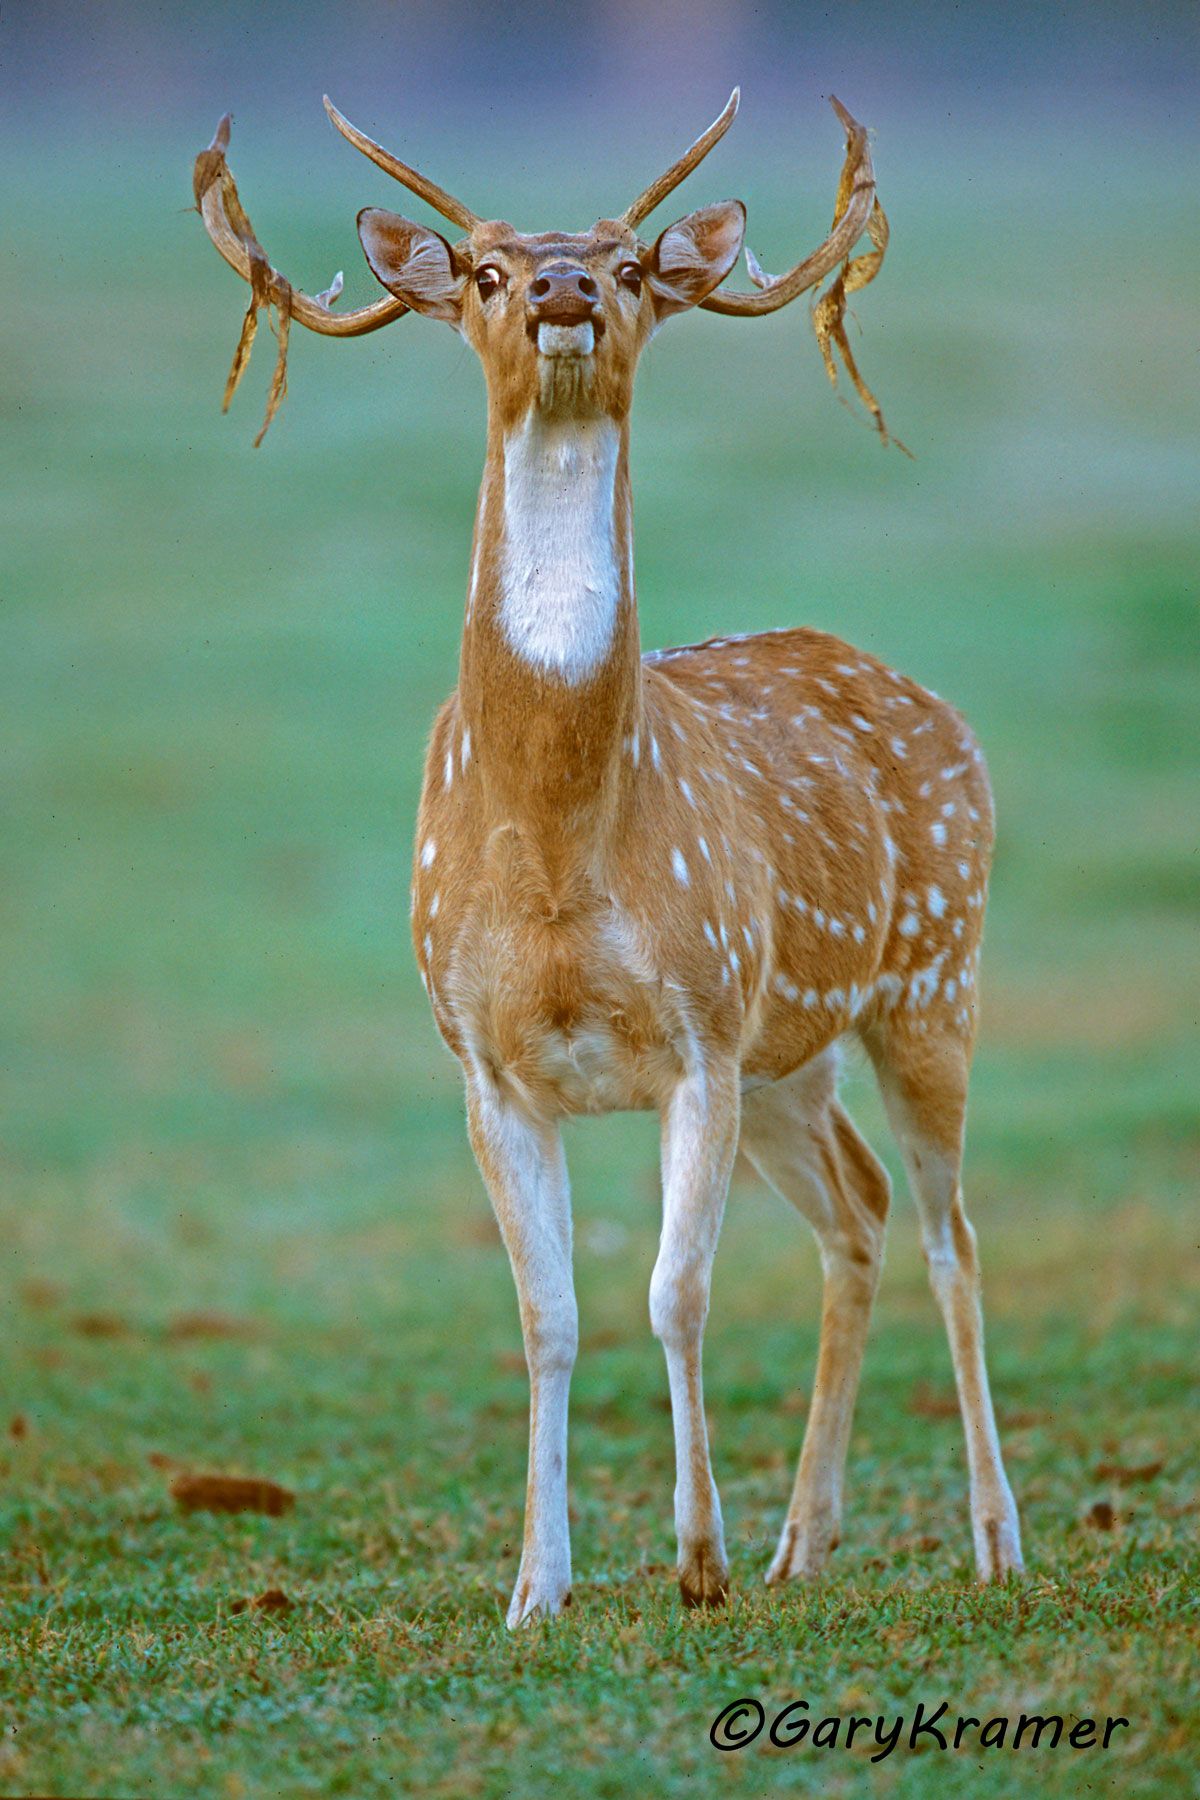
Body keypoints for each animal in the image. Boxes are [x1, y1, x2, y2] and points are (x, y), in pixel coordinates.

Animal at [193, 90, 1024, 1627]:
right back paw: (805, 1541)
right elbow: (550, 1315)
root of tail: (931, 703)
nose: (569, 289)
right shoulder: (483, 1054)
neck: (560, 849)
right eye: (481, 270)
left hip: (935, 968)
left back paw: (993, 1541)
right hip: (790, 1050)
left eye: (636, 266)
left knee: (953, 1231)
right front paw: (537, 1588)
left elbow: (674, 1294)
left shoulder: (697, 1024)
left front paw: (695, 1563)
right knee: (861, 1210)